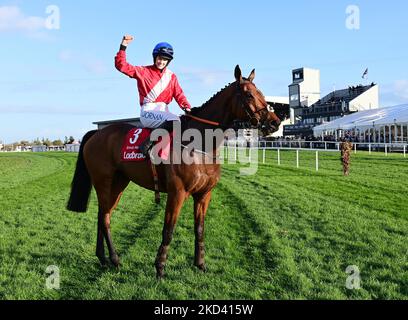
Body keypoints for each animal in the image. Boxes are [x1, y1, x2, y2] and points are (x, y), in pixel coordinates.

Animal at [67, 65, 282, 278]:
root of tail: (97, 133)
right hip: (104, 181)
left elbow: (200, 229)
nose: (275, 122)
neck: (200, 144)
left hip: (119, 183)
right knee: (105, 219)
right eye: (249, 95)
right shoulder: (177, 192)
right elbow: (168, 230)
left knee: (103, 215)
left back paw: (103, 258)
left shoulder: (204, 194)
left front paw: (200, 264)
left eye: (262, 94)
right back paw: (114, 259)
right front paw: (160, 267)